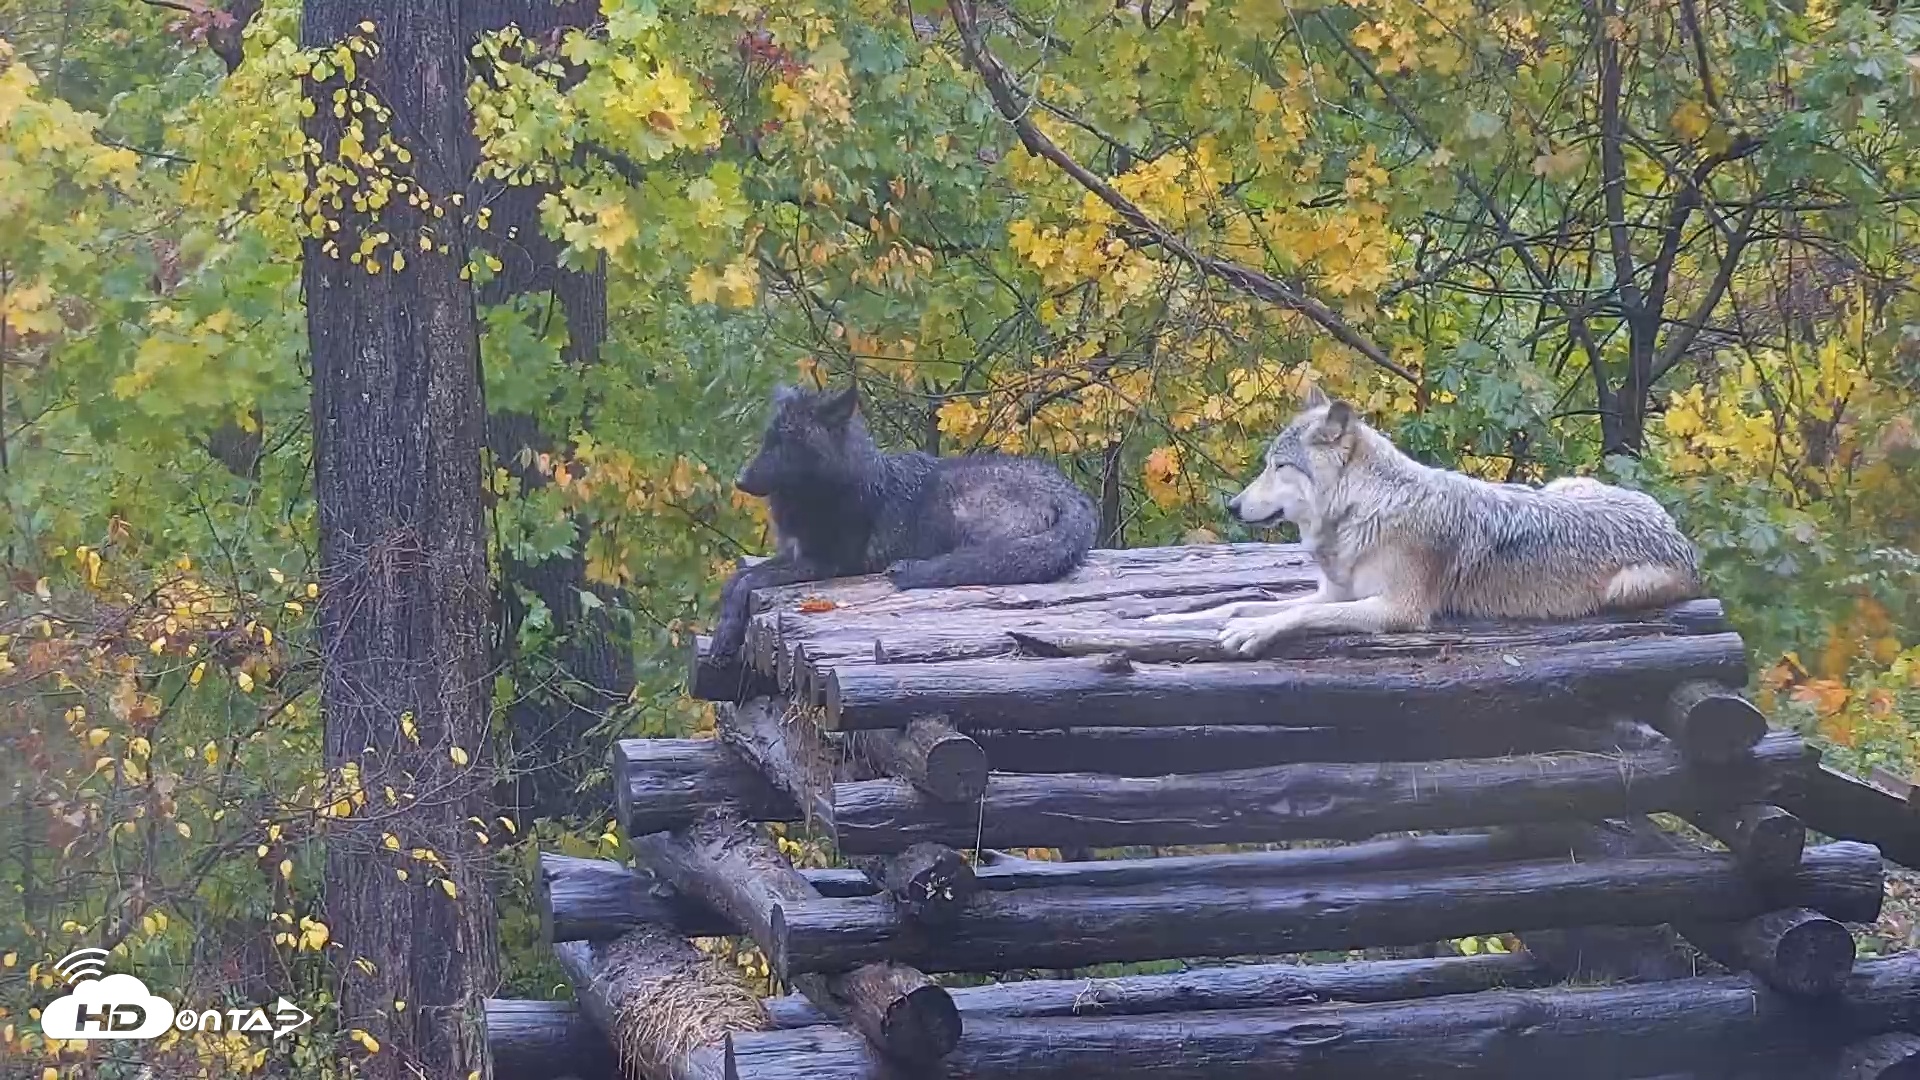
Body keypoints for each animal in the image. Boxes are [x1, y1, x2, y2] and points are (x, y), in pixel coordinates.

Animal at [709, 383, 1099, 660]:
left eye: (787, 443)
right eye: (768, 441)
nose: (740, 481)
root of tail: (1071, 492)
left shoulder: (826, 562)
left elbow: (748, 581)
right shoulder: (793, 554)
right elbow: (736, 580)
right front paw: (724, 632)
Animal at [1149, 386, 1701, 658]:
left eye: (1279, 467)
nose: (1232, 507)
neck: (1365, 509)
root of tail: (1671, 524)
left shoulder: (1397, 610)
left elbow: (1293, 617)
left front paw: (1253, 633)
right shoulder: (1334, 593)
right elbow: (1237, 603)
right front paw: (1168, 620)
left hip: (1626, 588)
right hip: (1560, 485)